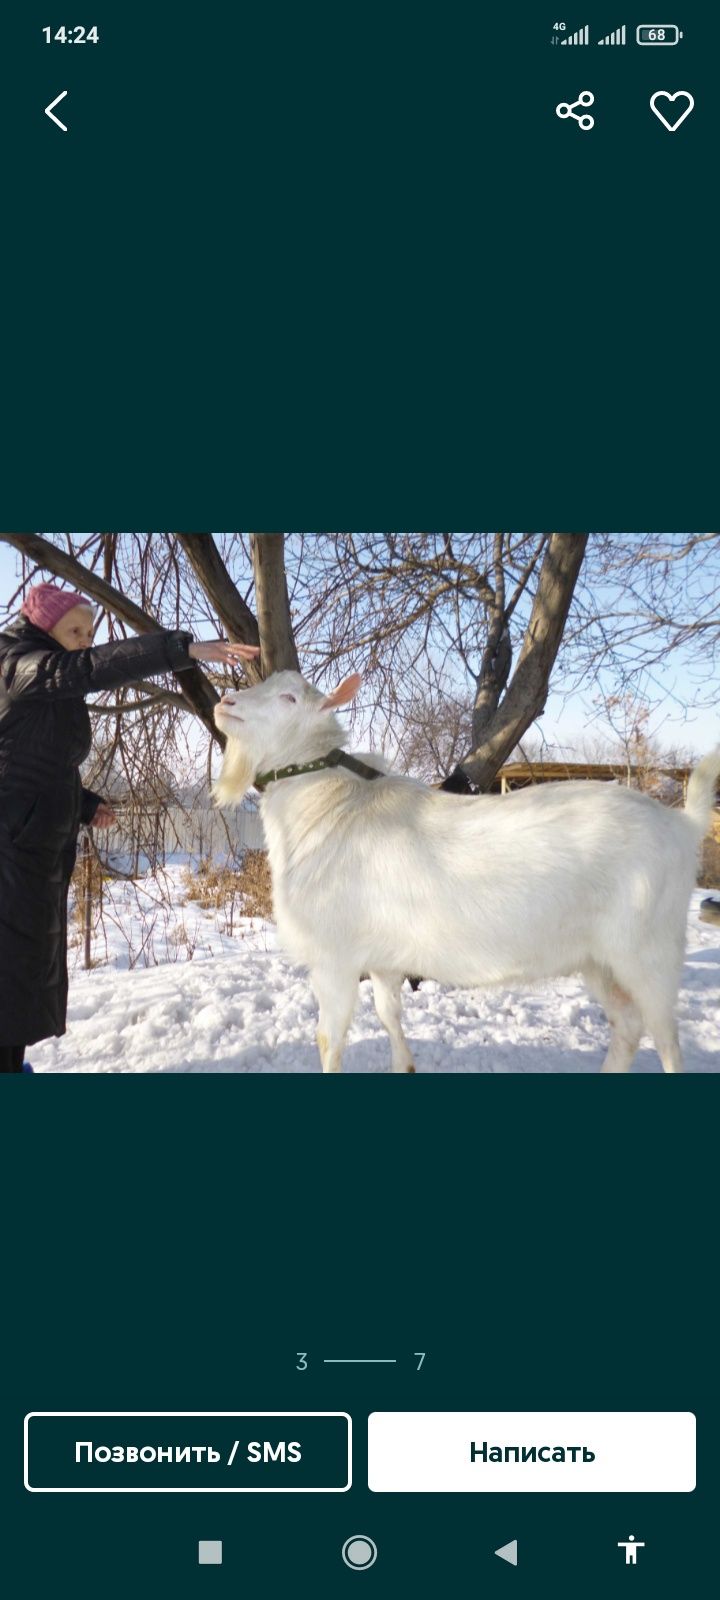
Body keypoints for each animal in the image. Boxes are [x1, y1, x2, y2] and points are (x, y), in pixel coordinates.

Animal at [214, 668, 720, 1068]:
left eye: (289, 698)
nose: (225, 702)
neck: (331, 806)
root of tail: (682, 823)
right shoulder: (381, 958)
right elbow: (389, 1016)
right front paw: (405, 1067)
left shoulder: (333, 958)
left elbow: (328, 1040)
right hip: (599, 959)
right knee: (628, 1024)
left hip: (648, 951)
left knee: (666, 1038)